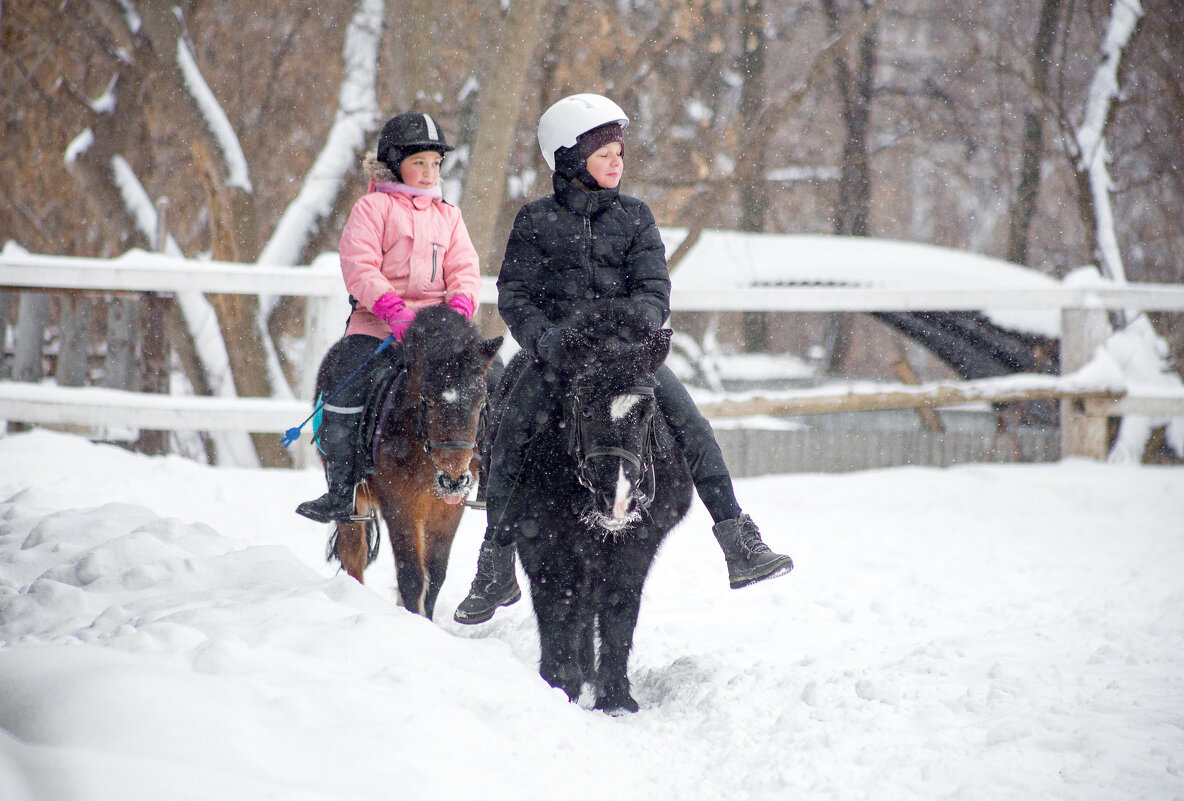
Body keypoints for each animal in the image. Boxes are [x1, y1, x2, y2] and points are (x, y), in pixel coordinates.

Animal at [329, 305, 504, 619]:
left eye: (480, 402)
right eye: (429, 401)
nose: (453, 480)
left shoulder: (449, 509)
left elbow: (435, 573)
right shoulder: (399, 505)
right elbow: (410, 575)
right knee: (353, 553)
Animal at [490, 300, 691, 714]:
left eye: (647, 411)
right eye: (583, 409)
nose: (618, 500)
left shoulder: (637, 545)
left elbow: (619, 606)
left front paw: (615, 697)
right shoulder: (542, 542)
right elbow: (557, 605)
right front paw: (558, 684)